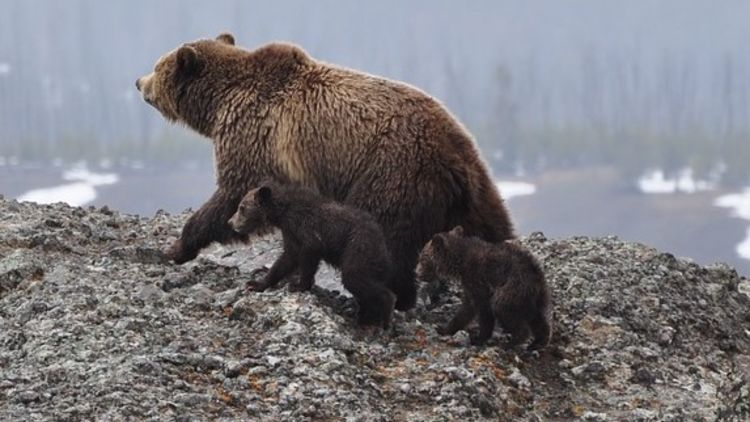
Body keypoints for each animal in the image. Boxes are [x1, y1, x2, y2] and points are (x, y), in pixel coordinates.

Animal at [136, 33, 515, 311]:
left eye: (158, 65)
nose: (139, 81)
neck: (218, 104)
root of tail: (454, 157)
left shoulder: (253, 135)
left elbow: (231, 193)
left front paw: (177, 246)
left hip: (392, 173)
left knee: (386, 238)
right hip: (476, 187)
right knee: (494, 228)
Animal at [228, 181, 396, 328]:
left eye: (241, 207)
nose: (230, 222)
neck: (282, 212)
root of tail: (384, 246)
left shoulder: (305, 226)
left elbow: (309, 253)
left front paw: (298, 285)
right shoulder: (290, 232)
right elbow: (287, 259)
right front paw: (256, 283)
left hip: (358, 247)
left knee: (354, 277)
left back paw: (384, 316)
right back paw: (365, 317)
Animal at [416, 226, 552, 349]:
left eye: (422, 257)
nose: (417, 273)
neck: (459, 262)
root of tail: (537, 278)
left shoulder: (476, 279)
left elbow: (477, 308)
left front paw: (476, 338)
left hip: (513, 287)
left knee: (502, 307)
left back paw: (511, 342)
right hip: (536, 298)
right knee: (537, 318)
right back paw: (537, 342)